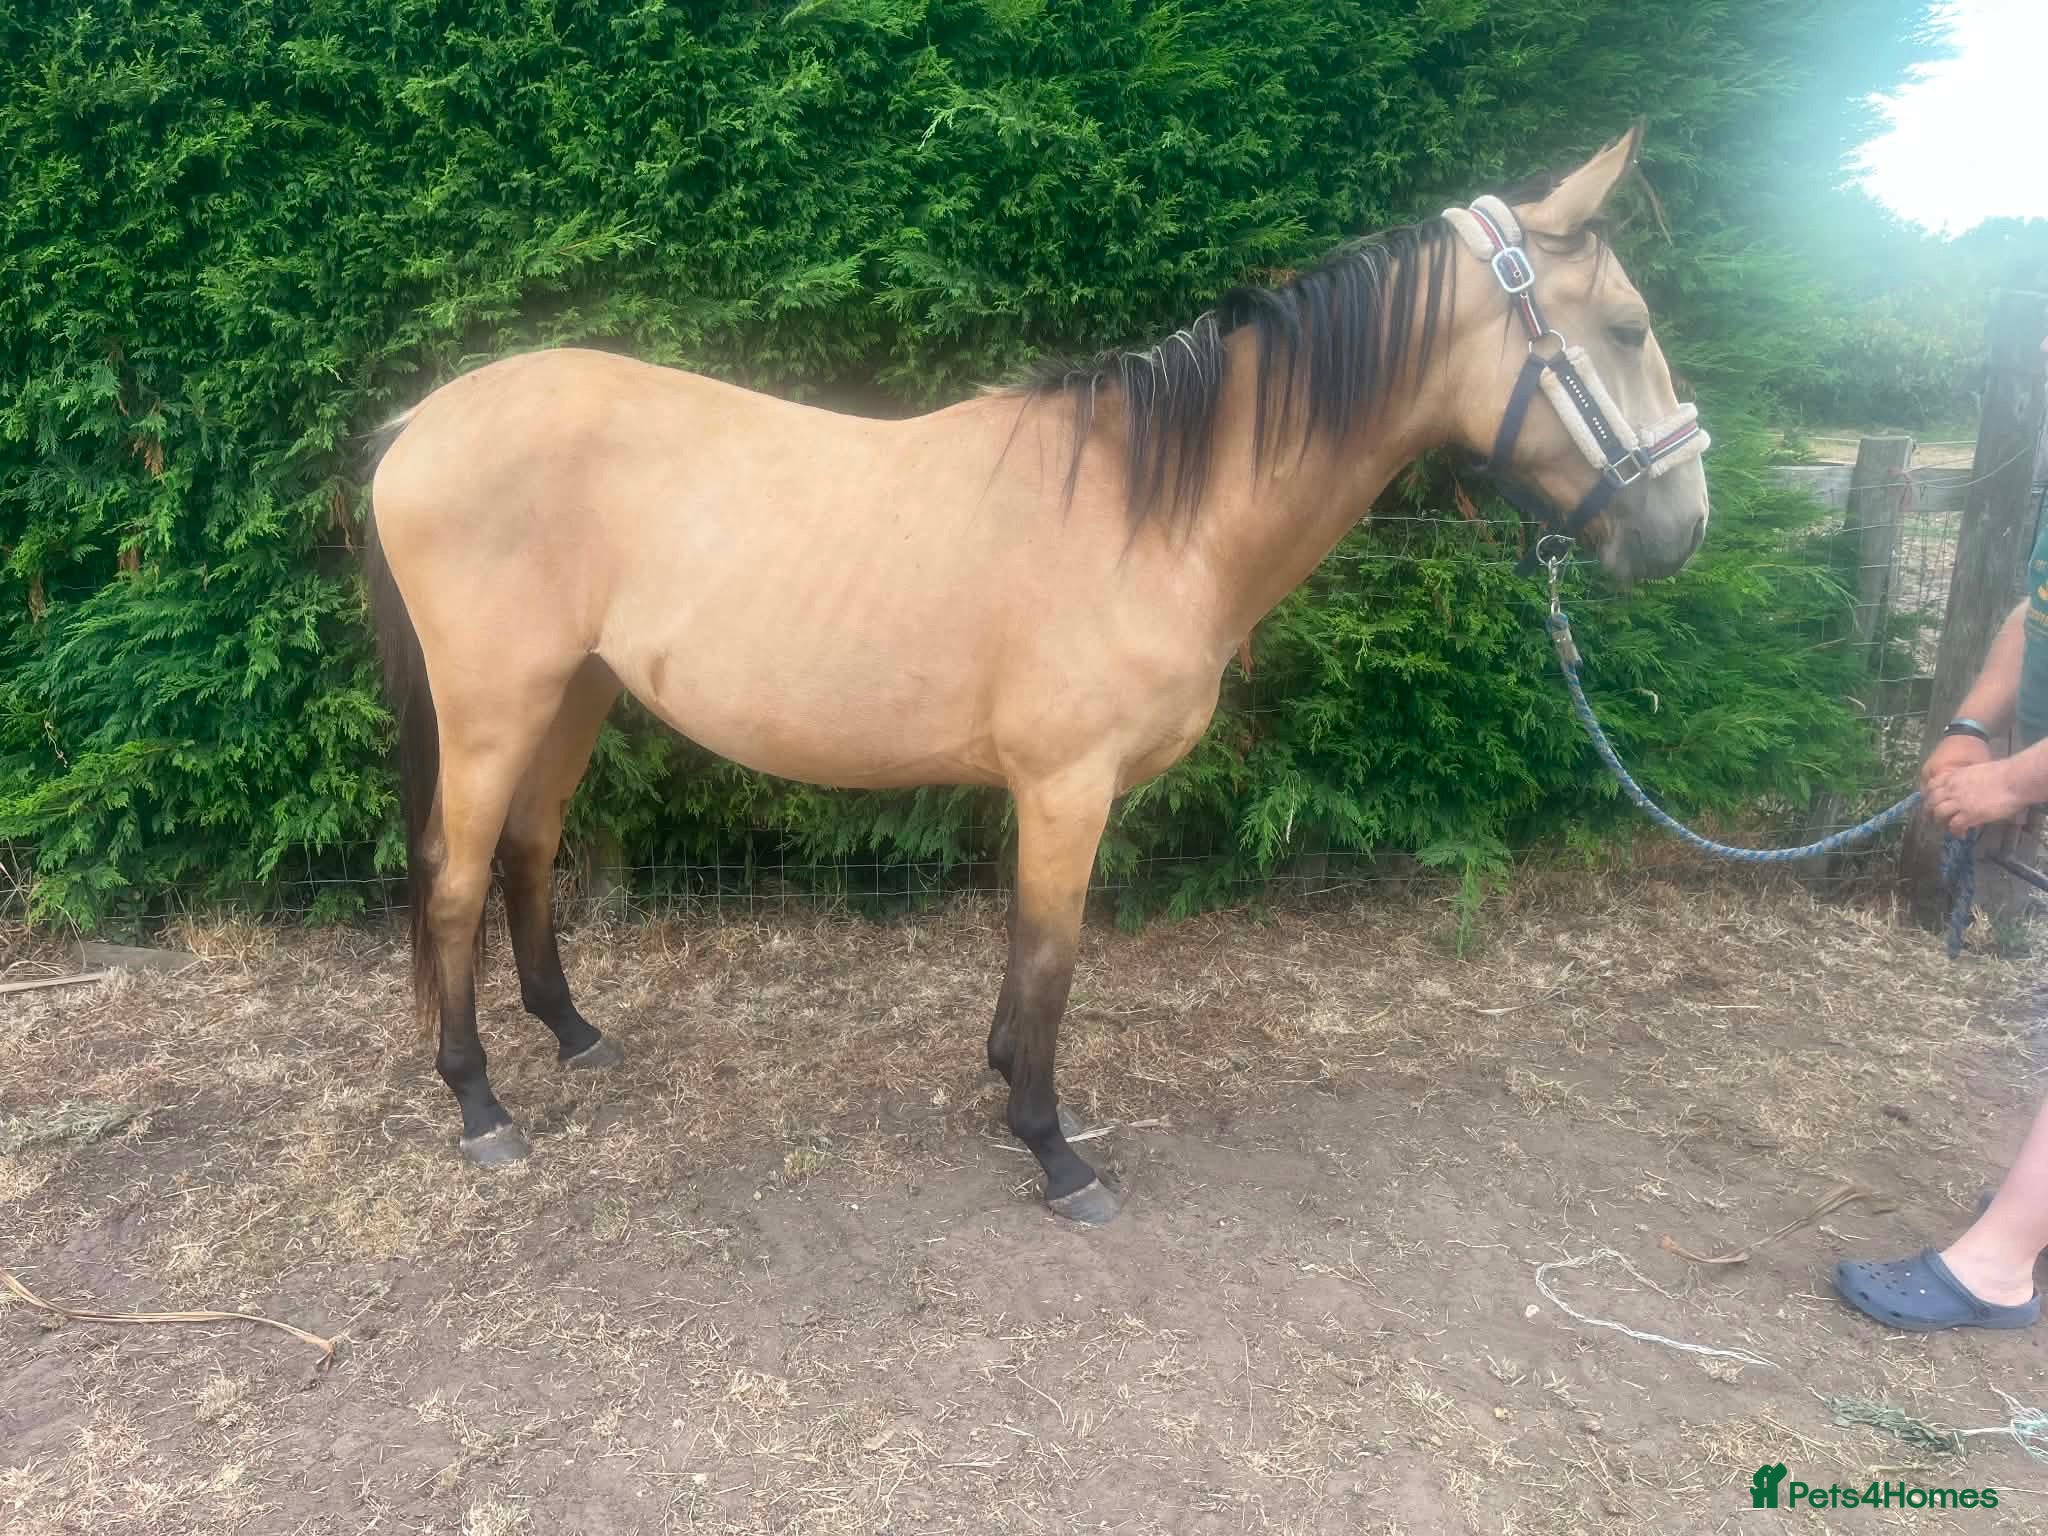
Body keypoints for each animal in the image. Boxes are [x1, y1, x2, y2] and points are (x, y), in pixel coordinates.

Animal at [361, 123, 1710, 1224]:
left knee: (528, 854)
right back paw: (481, 1108)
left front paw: (1006, 1079)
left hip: (575, 693)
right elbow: (1051, 959)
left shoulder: (1045, 794)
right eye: (1628, 329)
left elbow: (1026, 957)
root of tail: (419, 425)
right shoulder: (1067, 788)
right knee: (454, 877)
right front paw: (1054, 1151)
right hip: (494, 706)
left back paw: (574, 1035)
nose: (1681, 529)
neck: (1149, 510)